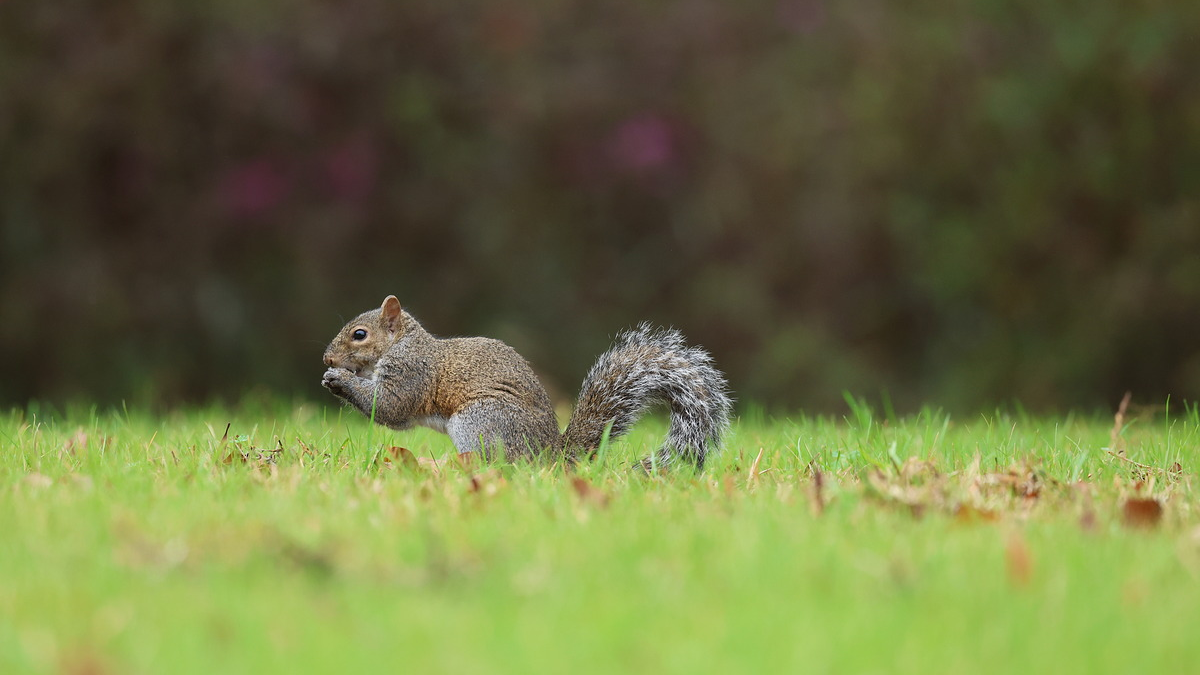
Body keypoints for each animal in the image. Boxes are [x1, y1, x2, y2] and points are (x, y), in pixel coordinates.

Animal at [319, 294, 729, 468]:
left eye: (359, 335)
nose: (327, 359)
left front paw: (337, 378)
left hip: (481, 420)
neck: (403, 343)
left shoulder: (411, 372)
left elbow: (390, 406)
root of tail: (551, 454)